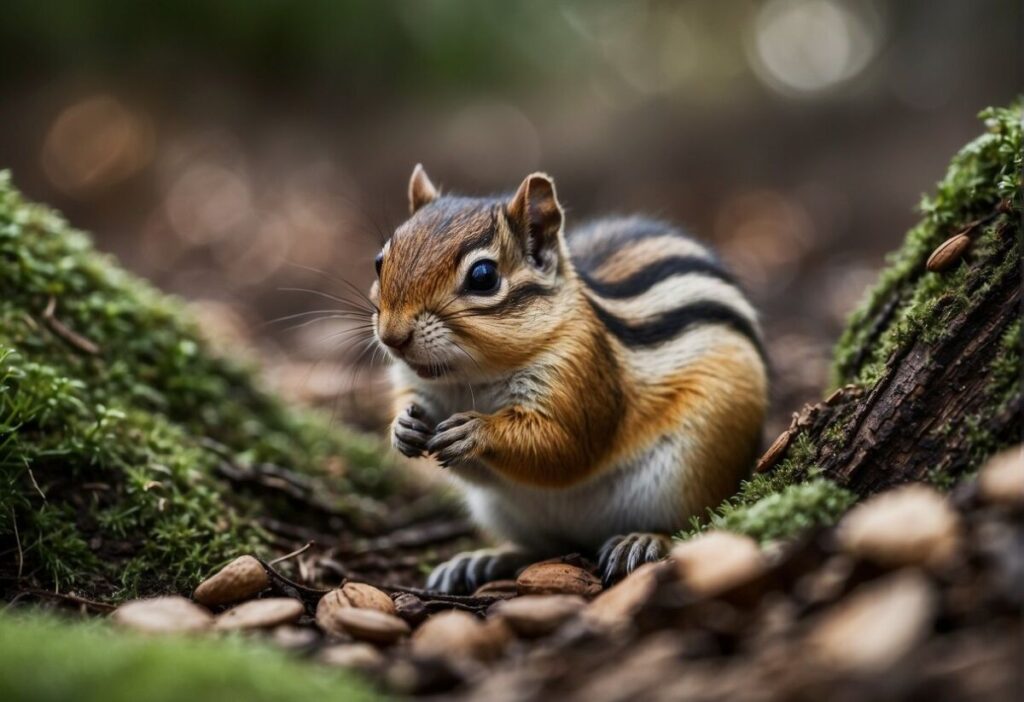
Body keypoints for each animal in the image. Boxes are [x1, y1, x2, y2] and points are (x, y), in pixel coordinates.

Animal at [370, 165, 768, 593]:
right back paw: (482, 560)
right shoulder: (416, 385)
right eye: (379, 260)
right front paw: (403, 428)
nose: (392, 336)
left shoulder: (582, 374)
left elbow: (565, 446)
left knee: (693, 526)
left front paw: (476, 431)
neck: (469, 380)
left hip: (692, 471)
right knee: (540, 548)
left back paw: (642, 540)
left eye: (483, 277)